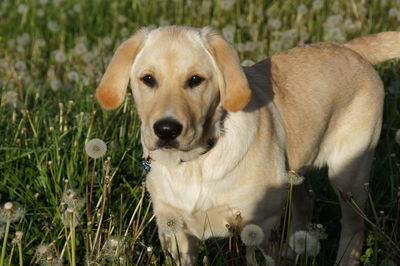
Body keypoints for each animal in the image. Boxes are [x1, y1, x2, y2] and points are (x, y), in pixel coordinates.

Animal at [95, 26, 398, 264]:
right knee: (305, 203)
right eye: (148, 79)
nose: (167, 129)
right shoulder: (174, 231)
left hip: (349, 175)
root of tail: (351, 49)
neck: (196, 163)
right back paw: (293, 252)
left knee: (354, 225)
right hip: (295, 170)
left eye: (195, 80)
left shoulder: (260, 225)